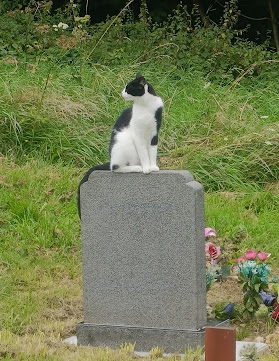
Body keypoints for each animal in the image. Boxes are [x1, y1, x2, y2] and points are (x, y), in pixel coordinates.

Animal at [77, 71, 164, 215]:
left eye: (128, 88)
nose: (121, 92)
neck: (144, 105)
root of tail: (111, 159)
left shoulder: (154, 133)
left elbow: (152, 152)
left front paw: (153, 166)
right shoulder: (137, 135)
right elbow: (143, 153)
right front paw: (146, 168)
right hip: (125, 141)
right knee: (115, 167)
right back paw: (137, 167)